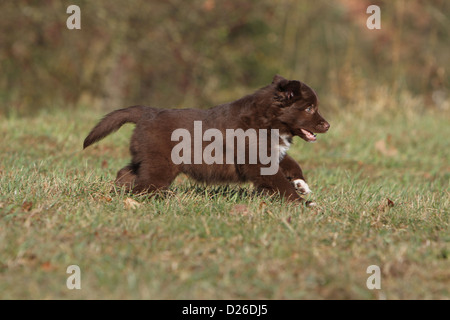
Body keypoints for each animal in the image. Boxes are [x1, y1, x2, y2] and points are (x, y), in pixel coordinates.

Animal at [84, 75, 328, 202]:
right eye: (309, 108)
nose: (327, 125)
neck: (269, 121)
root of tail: (147, 112)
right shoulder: (259, 162)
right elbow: (280, 183)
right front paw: (302, 204)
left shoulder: (272, 153)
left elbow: (290, 162)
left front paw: (301, 185)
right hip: (160, 164)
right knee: (144, 185)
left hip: (145, 158)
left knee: (126, 173)